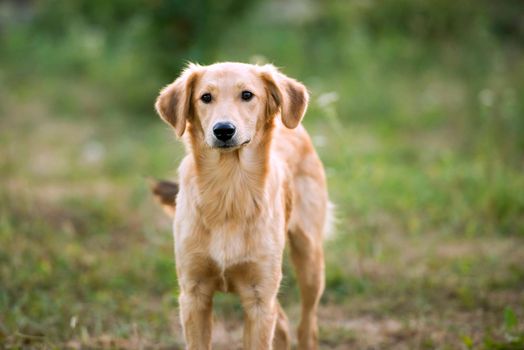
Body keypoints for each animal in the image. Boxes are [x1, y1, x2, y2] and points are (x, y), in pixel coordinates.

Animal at [151, 61, 330, 348]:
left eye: (247, 95)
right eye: (205, 97)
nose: (223, 130)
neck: (229, 192)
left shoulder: (259, 297)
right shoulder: (193, 294)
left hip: (309, 257)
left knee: (306, 327)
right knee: (282, 323)